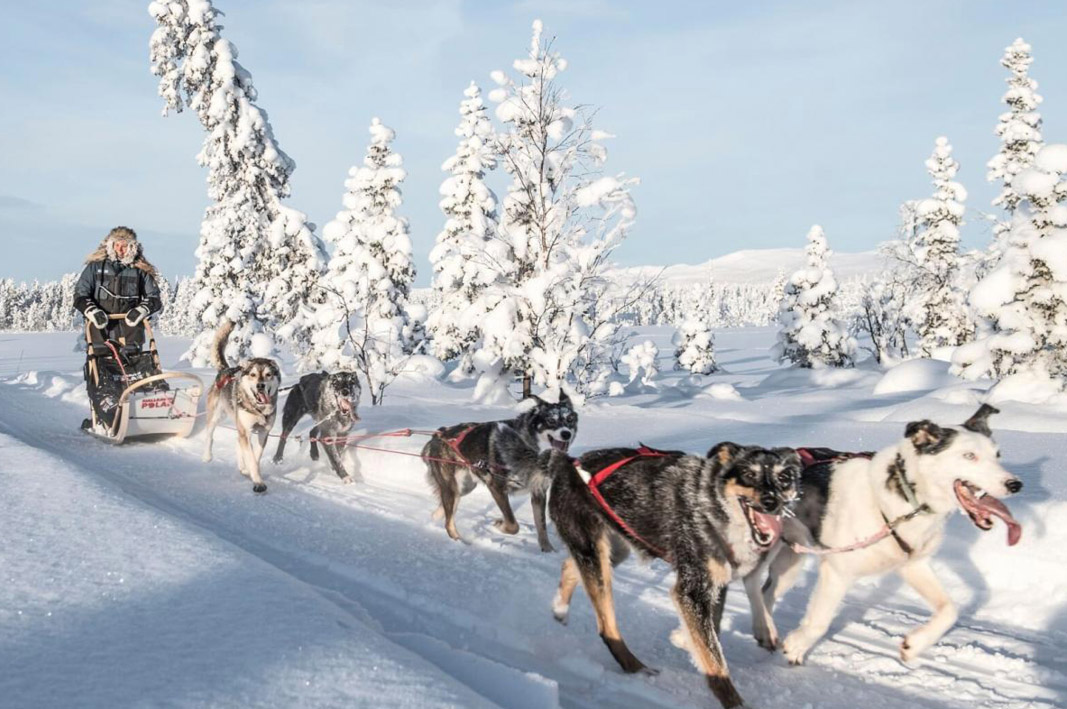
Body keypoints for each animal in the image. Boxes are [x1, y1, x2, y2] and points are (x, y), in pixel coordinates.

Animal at [201, 320, 281, 493]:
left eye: (268, 374)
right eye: (252, 375)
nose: (260, 386)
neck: (258, 410)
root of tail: (225, 370)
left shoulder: (263, 432)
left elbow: (256, 456)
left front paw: (251, 471)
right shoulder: (246, 431)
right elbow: (250, 457)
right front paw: (258, 481)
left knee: (238, 444)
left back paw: (242, 467)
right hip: (216, 416)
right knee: (210, 436)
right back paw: (207, 456)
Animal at [420, 392, 580, 555]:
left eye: (569, 419)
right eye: (551, 420)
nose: (566, 434)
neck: (530, 449)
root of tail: (438, 434)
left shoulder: (538, 492)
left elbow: (541, 527)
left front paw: (548, 550)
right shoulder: (497, 488)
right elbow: (513, 524)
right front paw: (499, 524)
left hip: (464, 488)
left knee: (446, 511)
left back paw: (435, 518)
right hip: (452, 487)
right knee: (449, 522)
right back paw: (459, 541)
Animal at [546, 439, 802, 704]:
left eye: (783, 478)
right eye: (749, 474)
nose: (772, 502)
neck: (712, 507)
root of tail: (568, 463)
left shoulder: (716, 586)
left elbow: (713, 636)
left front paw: (684, 640)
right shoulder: (692, 592)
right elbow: (715, 660)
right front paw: (733, 702)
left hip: (613, 550)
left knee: (570, 567)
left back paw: (560, 610)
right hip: (595, 555)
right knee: (607, 628)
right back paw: (637, 668)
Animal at [759, 403, 1024, 666]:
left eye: (997, 455)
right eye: (969, 456)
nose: (1015, 485)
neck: (904, 499)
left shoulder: (913, 565)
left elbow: (949, 610)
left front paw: (915, 644)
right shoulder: (837, 573)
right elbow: (820, 621)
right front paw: (797, 646)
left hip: (790, 564)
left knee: (765, 594)